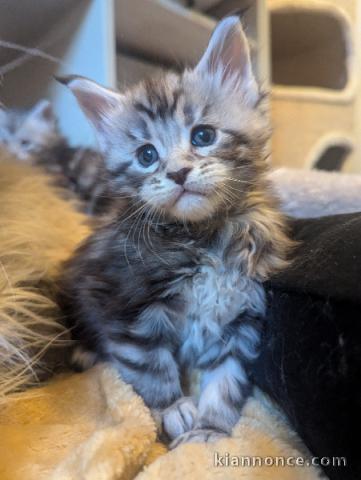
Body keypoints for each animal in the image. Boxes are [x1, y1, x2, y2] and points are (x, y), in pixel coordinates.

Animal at [57, 17, 292, 446]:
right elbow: (150, 367)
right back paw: (85, 352)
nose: (179, 173)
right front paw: (174, 409)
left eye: (203, 135)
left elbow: (226, 381)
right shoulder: (125, 309)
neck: (204, 237)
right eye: (146, 155)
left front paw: (210, 429)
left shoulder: (242, 317)